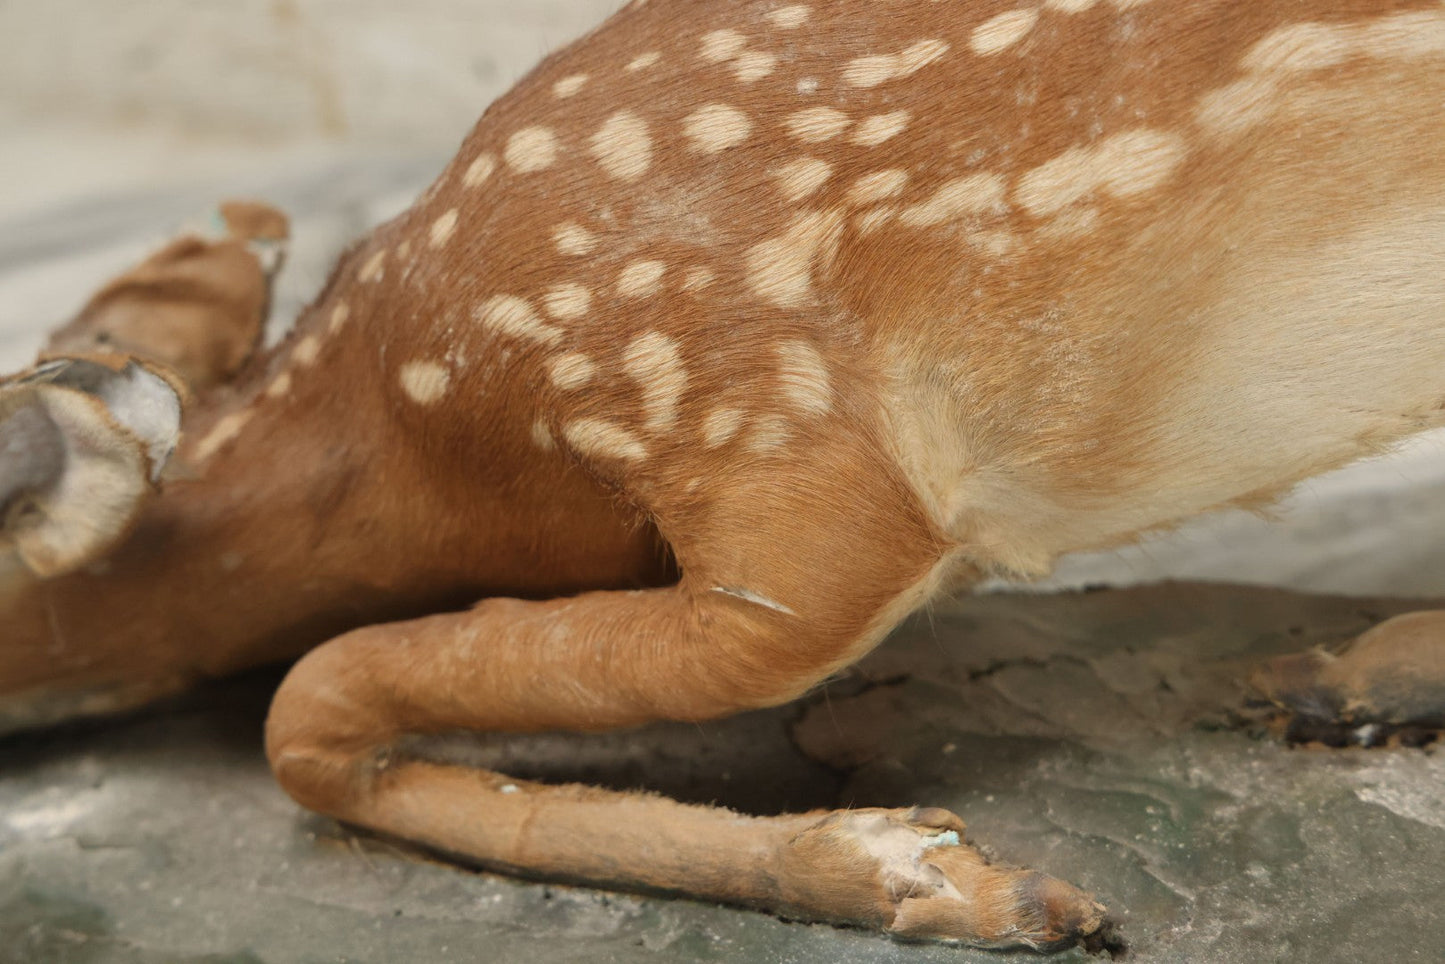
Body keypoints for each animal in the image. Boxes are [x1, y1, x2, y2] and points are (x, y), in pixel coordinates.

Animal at [3, 0, 1444, 952]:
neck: (418, 422)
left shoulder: (775, 449)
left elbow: (306, 706)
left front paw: (950, 877)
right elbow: (315, 712)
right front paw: (945, 870)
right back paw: (1339, 677)